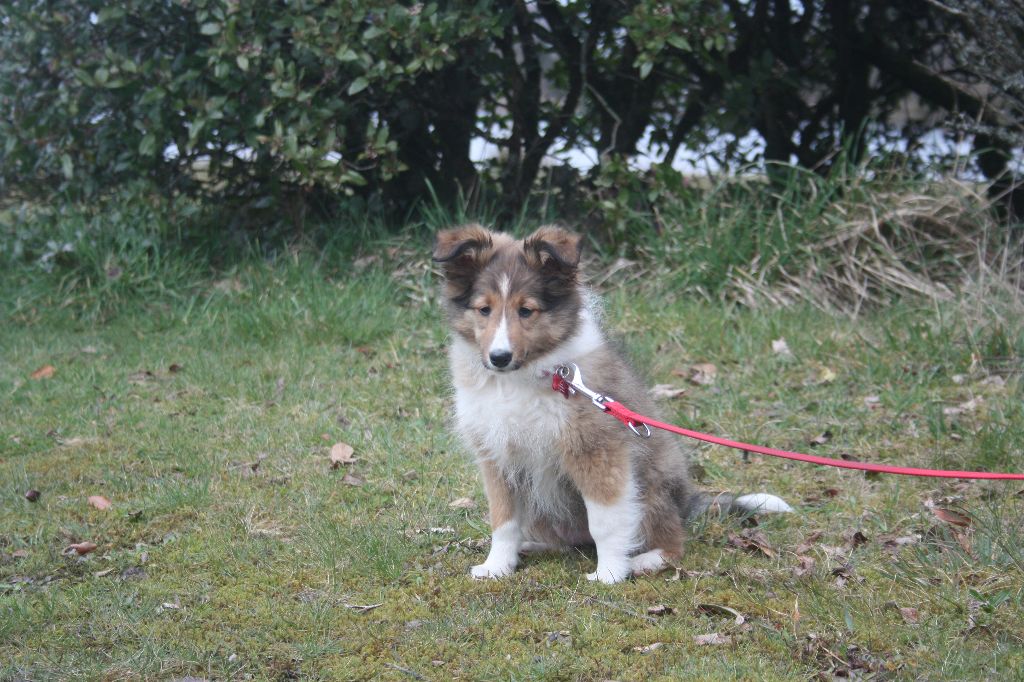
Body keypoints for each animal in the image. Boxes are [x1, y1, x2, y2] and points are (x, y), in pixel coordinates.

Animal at [432, 224, 790, 585]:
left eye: (526, 310)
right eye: (484, 309)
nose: (499, 357)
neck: (523, 377)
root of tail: (686, 503)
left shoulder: (597, 450)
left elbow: (604, 521)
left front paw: (609, 573)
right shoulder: (498, 455)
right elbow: (504, 519)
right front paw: (497, 566)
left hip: (649, 488)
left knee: (672, 541)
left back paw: (644, 560)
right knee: (569, 540)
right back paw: (535, 545)